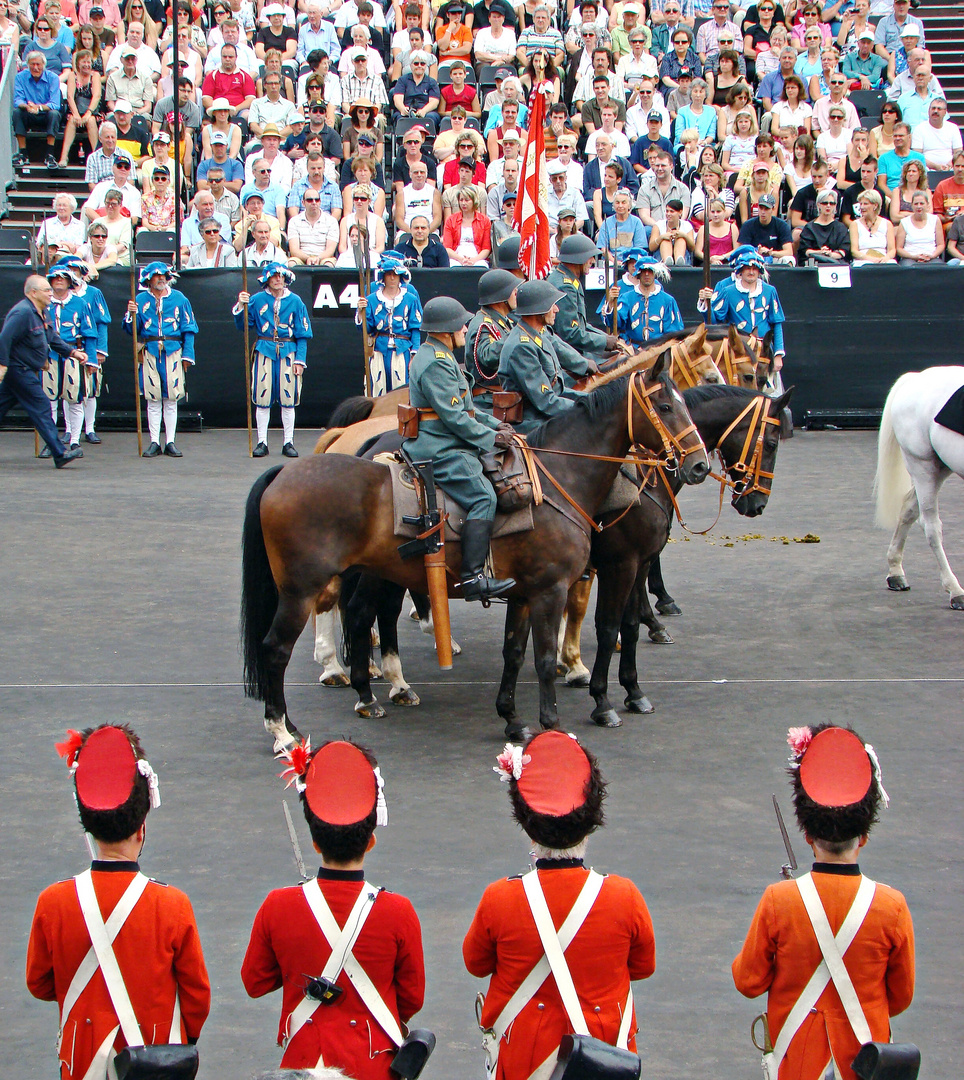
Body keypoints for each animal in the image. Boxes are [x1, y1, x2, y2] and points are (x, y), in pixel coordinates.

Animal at [240, 358, 708, 747]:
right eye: (665, 406)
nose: (699, 464)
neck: (560, 476)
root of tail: (284, 472)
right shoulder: (564, 584)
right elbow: (558, 650)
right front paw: (570, 716)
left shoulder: (525, 592)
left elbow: (515, 653)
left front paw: (513, 719)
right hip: (301, 590)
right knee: (278, 647)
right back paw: (284, 727)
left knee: (358, 615)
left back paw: (365, 694)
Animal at [872, 369, 962, 609]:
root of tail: (917, 377)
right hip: (923, 466)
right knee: (931, 527)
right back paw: (955, 591)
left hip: (941, 466)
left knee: (908, 511)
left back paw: (895, 572)